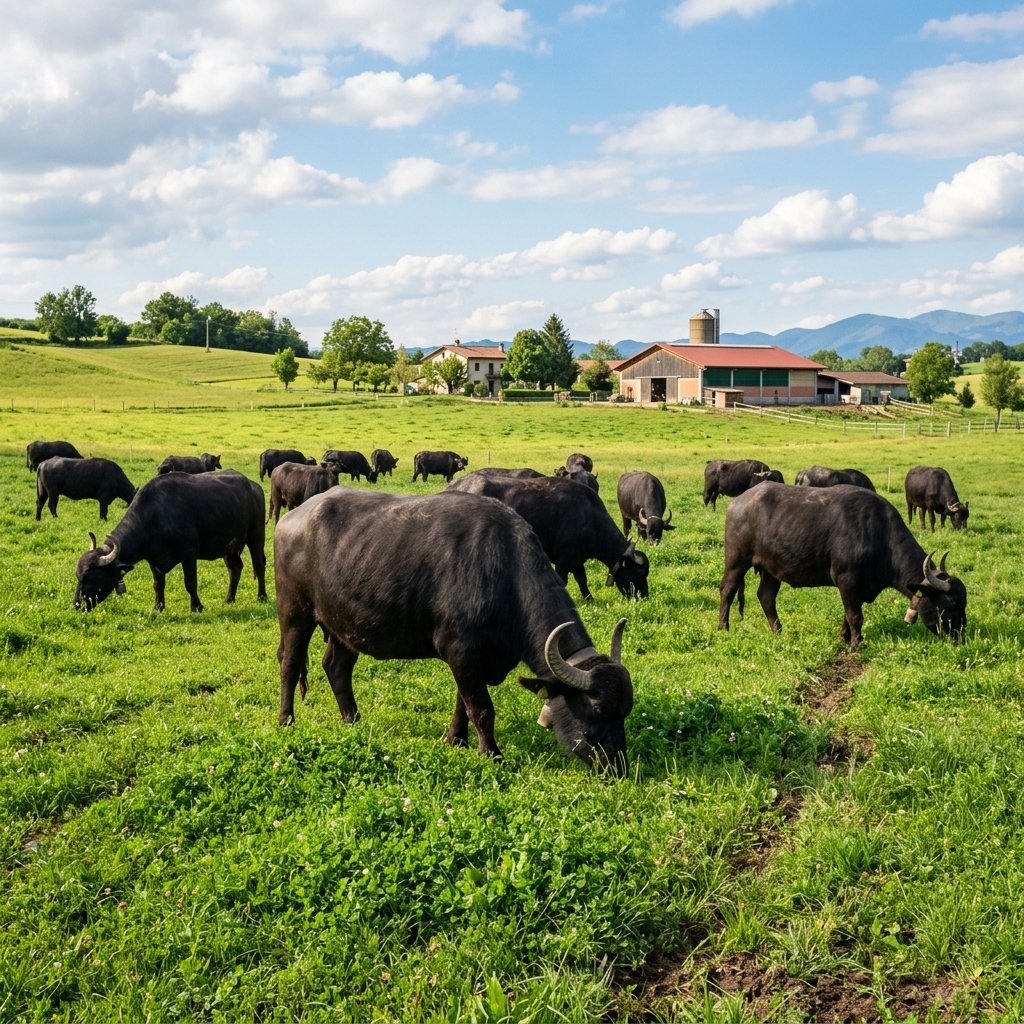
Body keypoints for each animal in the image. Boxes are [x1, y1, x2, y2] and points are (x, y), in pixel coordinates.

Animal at [74, 470, 267, 612]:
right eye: (78, 576)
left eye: (92, 577)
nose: (77, 604)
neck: (156, 515)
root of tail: (254, 486)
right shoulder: (153, 559)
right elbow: (158, 584)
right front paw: (158, 607)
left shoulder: (188, 554)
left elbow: (190, 582)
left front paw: (196, 606)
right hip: (230, 547)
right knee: (235, 568)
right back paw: (229, 599)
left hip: (256, 536)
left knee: (259, 565)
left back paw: (262, 596)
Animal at [274, 487, 634, 773]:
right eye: (598, 711)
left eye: (625, 711)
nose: (616, 767)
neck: (505, 574)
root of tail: (290, 519)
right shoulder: (460, 652)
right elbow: (482, 708)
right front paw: (492, 754)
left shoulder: (473, 661)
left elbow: (464, 702)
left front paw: (454, 738)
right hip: (295, 613)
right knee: (289, 664)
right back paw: (286, 720)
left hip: (344, 624)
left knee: (337, 667)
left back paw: (353, 719)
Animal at [448, 472, 650, 600]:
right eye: (638, 573)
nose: (644, 596)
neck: (588, 515)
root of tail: (454, 485)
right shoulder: (564, 558)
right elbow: (563, 580)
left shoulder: (577, 559)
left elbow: (582, 580)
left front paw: (589, 598)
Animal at [718, 483, 967, 650]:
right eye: (952, 604)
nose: (961, 636)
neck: (879, 536)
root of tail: (737, 502)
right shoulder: (847, 581)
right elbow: (855, 616)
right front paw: (857, 643)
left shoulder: (856, 588)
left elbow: (847, 615)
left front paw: (844, 637)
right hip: (736, 560)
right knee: (727, 590)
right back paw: (723, 628)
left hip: (771, 570)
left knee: (766, 596)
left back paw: (778, 630)